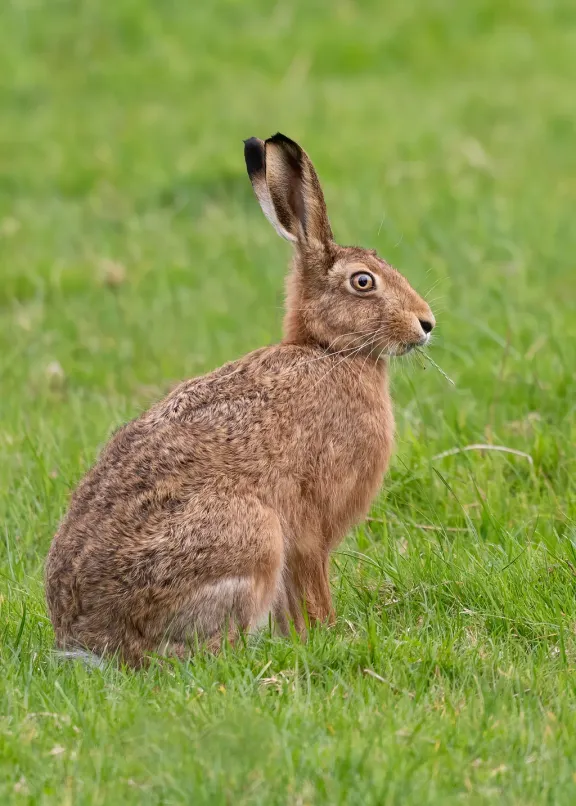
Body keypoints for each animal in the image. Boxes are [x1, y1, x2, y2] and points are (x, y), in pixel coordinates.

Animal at [45, 133, 435, 667]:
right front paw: (330, 634)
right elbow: (313, 586)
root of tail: (91, 640)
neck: (328, 349)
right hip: (252, 537)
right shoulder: (310, 528)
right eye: (363, 281)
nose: (427, 323)